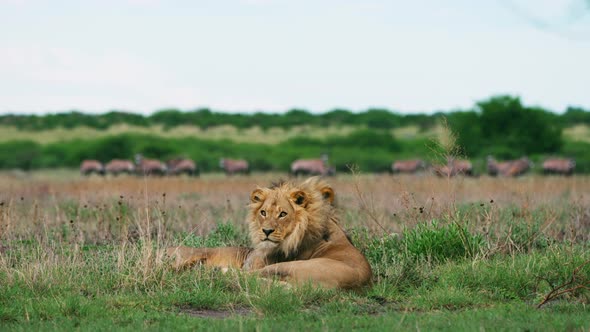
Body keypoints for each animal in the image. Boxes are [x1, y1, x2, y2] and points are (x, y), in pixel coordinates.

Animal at [166, 178, 372, 290]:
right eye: (263, 212)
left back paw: (216, 271)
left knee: (247, 276)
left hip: (289, 266)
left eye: (283, 214)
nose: (266, 231)